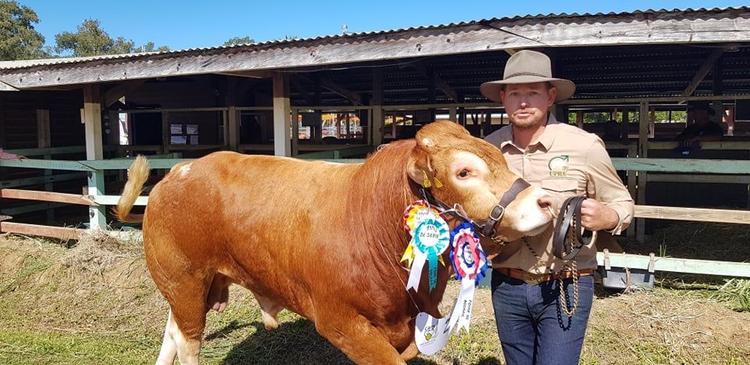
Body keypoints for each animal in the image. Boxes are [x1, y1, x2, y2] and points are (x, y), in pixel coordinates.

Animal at [117, 121, 552, 364]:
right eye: (464, 172)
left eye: (501, 157)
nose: (544, 201)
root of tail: (178, 172)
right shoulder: (340, 321)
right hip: (185, 281)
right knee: (188, 342)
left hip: (192, 287)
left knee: (172, 333)